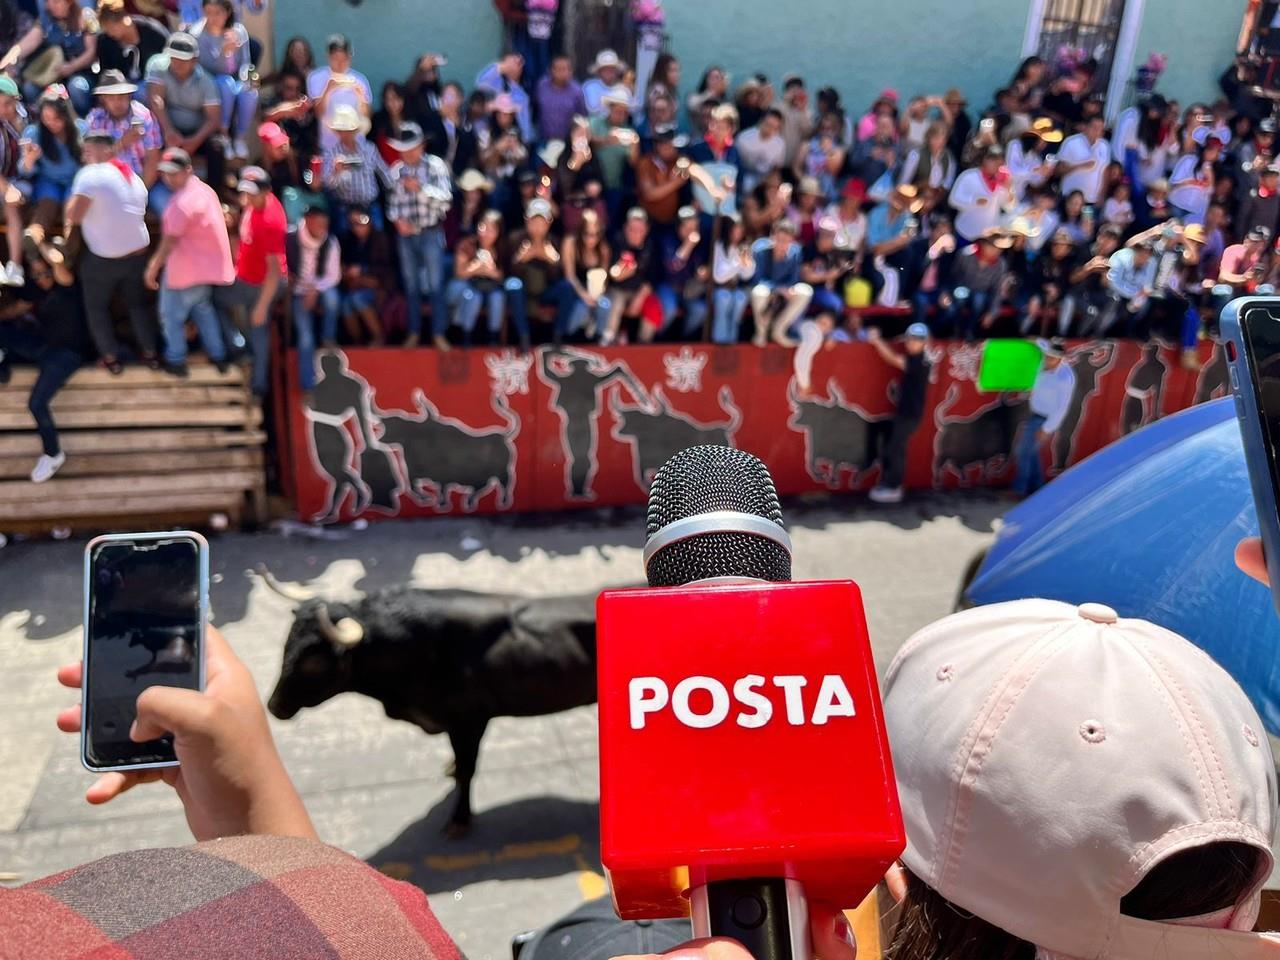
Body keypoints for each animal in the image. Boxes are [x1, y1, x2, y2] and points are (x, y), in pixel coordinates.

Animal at [267, 583, 596, 839]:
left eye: (313, 661)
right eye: (286, 644)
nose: (273, 706)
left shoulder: (469, 721)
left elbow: (467, 770)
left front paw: (459, 820)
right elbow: (460, 766)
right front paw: (450, 768)